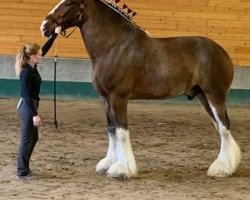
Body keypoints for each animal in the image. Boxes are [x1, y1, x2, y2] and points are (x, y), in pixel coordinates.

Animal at [40, 0, 240, 180]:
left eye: (68, 3)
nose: (44, 26)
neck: (113, 46)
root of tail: (222, 52)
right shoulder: (104, 99)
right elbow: (111, 129)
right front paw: (108, 163)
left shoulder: (118, 98)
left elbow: (121, 131)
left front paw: (121, 169)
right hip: (203, 96)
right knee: (221, 127)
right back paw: (229, 165)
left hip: (214, 95)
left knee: (224, 127)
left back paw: (222, 169)